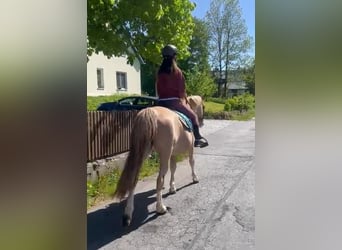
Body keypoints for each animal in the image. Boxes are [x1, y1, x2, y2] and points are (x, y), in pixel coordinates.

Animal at [115, 94, 206, 226]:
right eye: (203, 106)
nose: (202, 120)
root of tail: (149, 112)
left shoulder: (172, 154)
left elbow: (174, 168)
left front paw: (172, 187)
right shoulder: (190, 149)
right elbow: (191, 162)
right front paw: (194, 178)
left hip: (142, 153)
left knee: (134, 179)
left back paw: (127, 214)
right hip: (163, 154)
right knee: (159, 180)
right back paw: (160, 208)